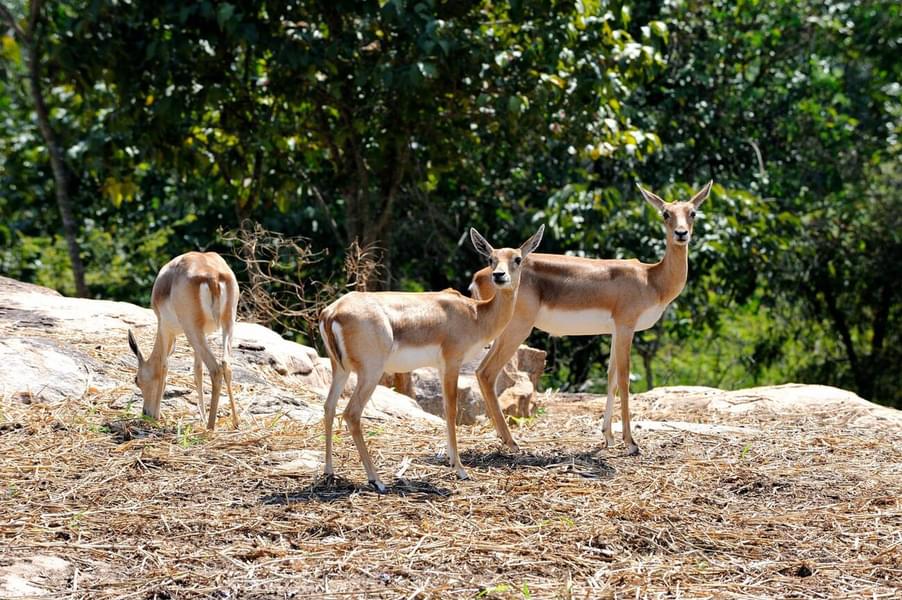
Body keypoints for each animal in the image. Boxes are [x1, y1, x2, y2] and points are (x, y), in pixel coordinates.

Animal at [127, 251, 242, 428]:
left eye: (136, 380)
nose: (145, 413)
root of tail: (213, 276)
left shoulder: (164, 328)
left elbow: (164, 366)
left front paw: (157, 416)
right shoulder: (203, 334)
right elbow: (197, 370)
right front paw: (201, 416)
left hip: (191, 329)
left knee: (215, 369)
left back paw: (210, 427)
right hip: (226, 324)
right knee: (225, 365)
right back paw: (235, 422)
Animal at [320, 225, 544, 492]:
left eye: (517, 259)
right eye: (491, 259)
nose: (499, 276)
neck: (476, 314)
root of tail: (332, 312)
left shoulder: (440, 366)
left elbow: (446, 409)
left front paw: (451, 461)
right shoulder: (452, 361)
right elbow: (451, 410)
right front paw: (461, 470)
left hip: (340, 369)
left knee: (329, 407)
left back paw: (329, 473)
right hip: (370, 372)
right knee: (352, 413)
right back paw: (377, 480)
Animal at [470, 183, 716, 454]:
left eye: (692, 212)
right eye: (665, 213)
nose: (681, 234)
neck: (651, 279)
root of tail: (481, 275)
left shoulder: (615, 331)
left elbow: (611, 378)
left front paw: (607, 437)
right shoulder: (626, 327)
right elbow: (624, 379)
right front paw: (631, 442)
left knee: (481, 371)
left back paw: (502, 437)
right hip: (516, 328)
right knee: (487, 372)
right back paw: (512, 442)